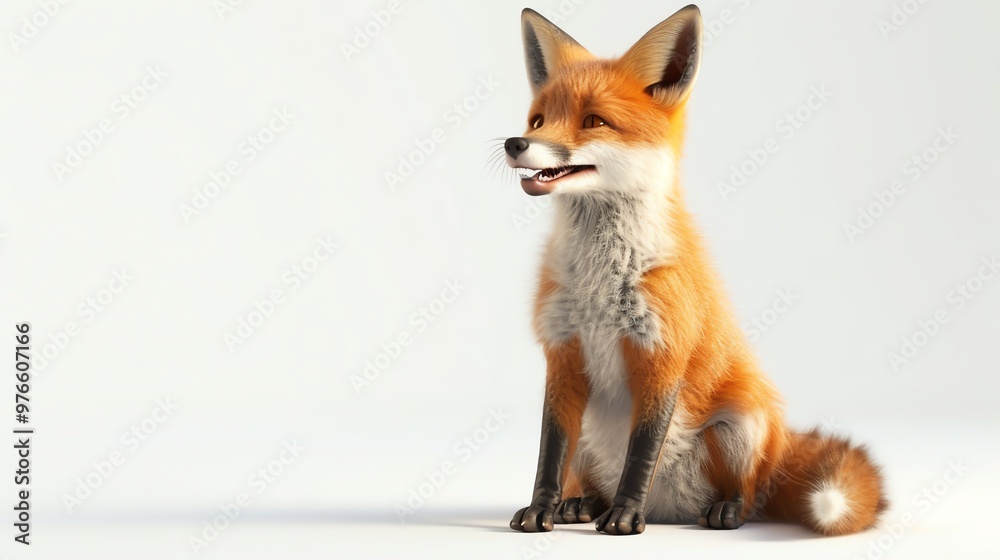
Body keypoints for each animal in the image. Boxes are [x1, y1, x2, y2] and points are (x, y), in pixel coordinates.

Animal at [502, 5, 887, 536]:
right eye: (538, 119)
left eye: (593, 121)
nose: (514, 142)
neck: (601, 283)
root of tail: (671, 511)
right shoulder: (562, 353)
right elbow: (549, 451)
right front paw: (543, 507)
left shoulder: (663, 352)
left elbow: (642, 449)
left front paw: (626, 516)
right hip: (591, 438)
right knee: (585, 474)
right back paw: (583, 503)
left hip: (740, 426)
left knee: (752, 491)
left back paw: (723, 510)